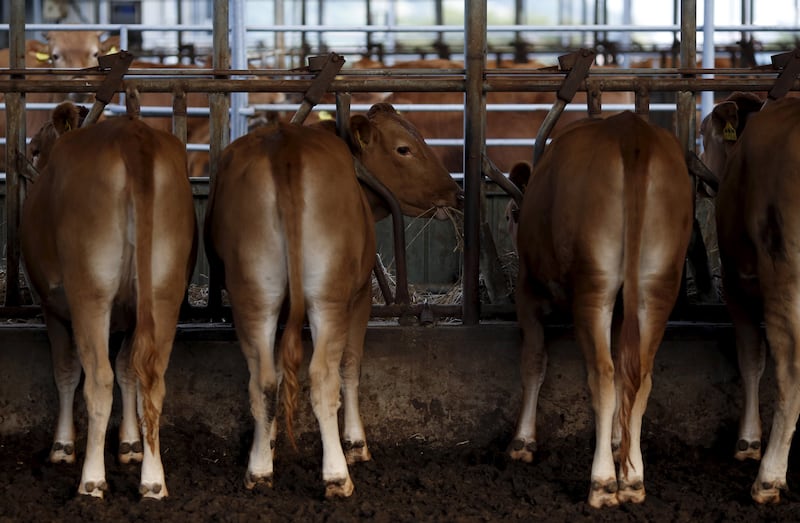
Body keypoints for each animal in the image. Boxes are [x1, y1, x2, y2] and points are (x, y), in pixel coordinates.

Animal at [21, 101, 198, 499]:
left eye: (36, 150)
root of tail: (133, 136)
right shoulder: (133, 315)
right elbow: (129, 370)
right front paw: (130, 445)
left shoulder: (51, 307)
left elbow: (67, 371)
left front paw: (62, 446)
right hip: (163, 293)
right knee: (153, 378)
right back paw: (153, 481)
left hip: (92, 293)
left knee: (98, 381)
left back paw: (91, 481)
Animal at [204, 103, 462, 497]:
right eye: (403, 148)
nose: (455, 192)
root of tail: (284, 147)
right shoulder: (359, 297)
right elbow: (351, 366)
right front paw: (356, 443)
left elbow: (277, 370)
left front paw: (270, 443)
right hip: (327, 298)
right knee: (323, 376)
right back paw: (337, 474)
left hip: (255, 296)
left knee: (262, 379)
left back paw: (259, 470)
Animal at [507, 111, 693, 508]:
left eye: (511, 214)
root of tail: (630, 131)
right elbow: (627, 373)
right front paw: (617, 441)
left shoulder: (527, 290)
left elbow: (533, 361)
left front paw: (523, 441)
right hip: (658, 284)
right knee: (640, 376)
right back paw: (633, 479)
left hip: (595, 285)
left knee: (603, 376)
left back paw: (604, 481)